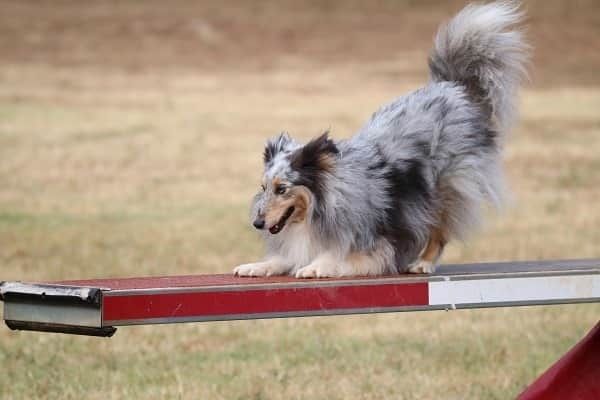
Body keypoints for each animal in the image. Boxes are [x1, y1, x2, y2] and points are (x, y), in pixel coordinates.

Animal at [232, 1, 528, 278]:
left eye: (282, 189)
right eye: (263, 188)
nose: (257, 224)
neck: (321, 203)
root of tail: (452, 87)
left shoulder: (375, 245)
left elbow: (335, 256)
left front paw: (315, 267)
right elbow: (281, 259)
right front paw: (255, 265)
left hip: (447, 188)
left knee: (440, 230)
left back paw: (423, 263)